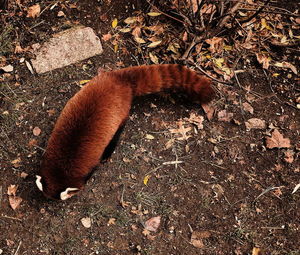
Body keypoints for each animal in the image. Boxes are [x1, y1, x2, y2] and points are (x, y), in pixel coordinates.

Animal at [35, 63, 213, 199]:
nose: (49, 200)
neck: (62, 165)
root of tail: (121, 78)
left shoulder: (87, 166)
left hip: (121, 113)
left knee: (117, 133)